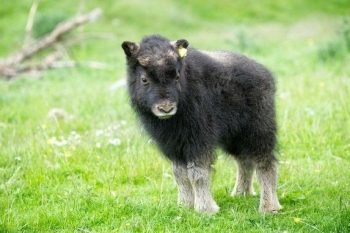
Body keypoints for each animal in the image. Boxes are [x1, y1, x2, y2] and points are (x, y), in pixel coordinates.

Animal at [121, 34, 284, 215]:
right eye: (144, 79)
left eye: (176, 76)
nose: (166, 108)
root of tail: (264, 73)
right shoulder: (174, 146)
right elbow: (180, 175)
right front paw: (185, 206)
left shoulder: (198, 141)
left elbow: (197, 174)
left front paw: (206, 209)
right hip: (235, 138)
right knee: (244, 161)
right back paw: (240, 194)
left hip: (258, 130)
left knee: (265, 162)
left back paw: (269, 207)